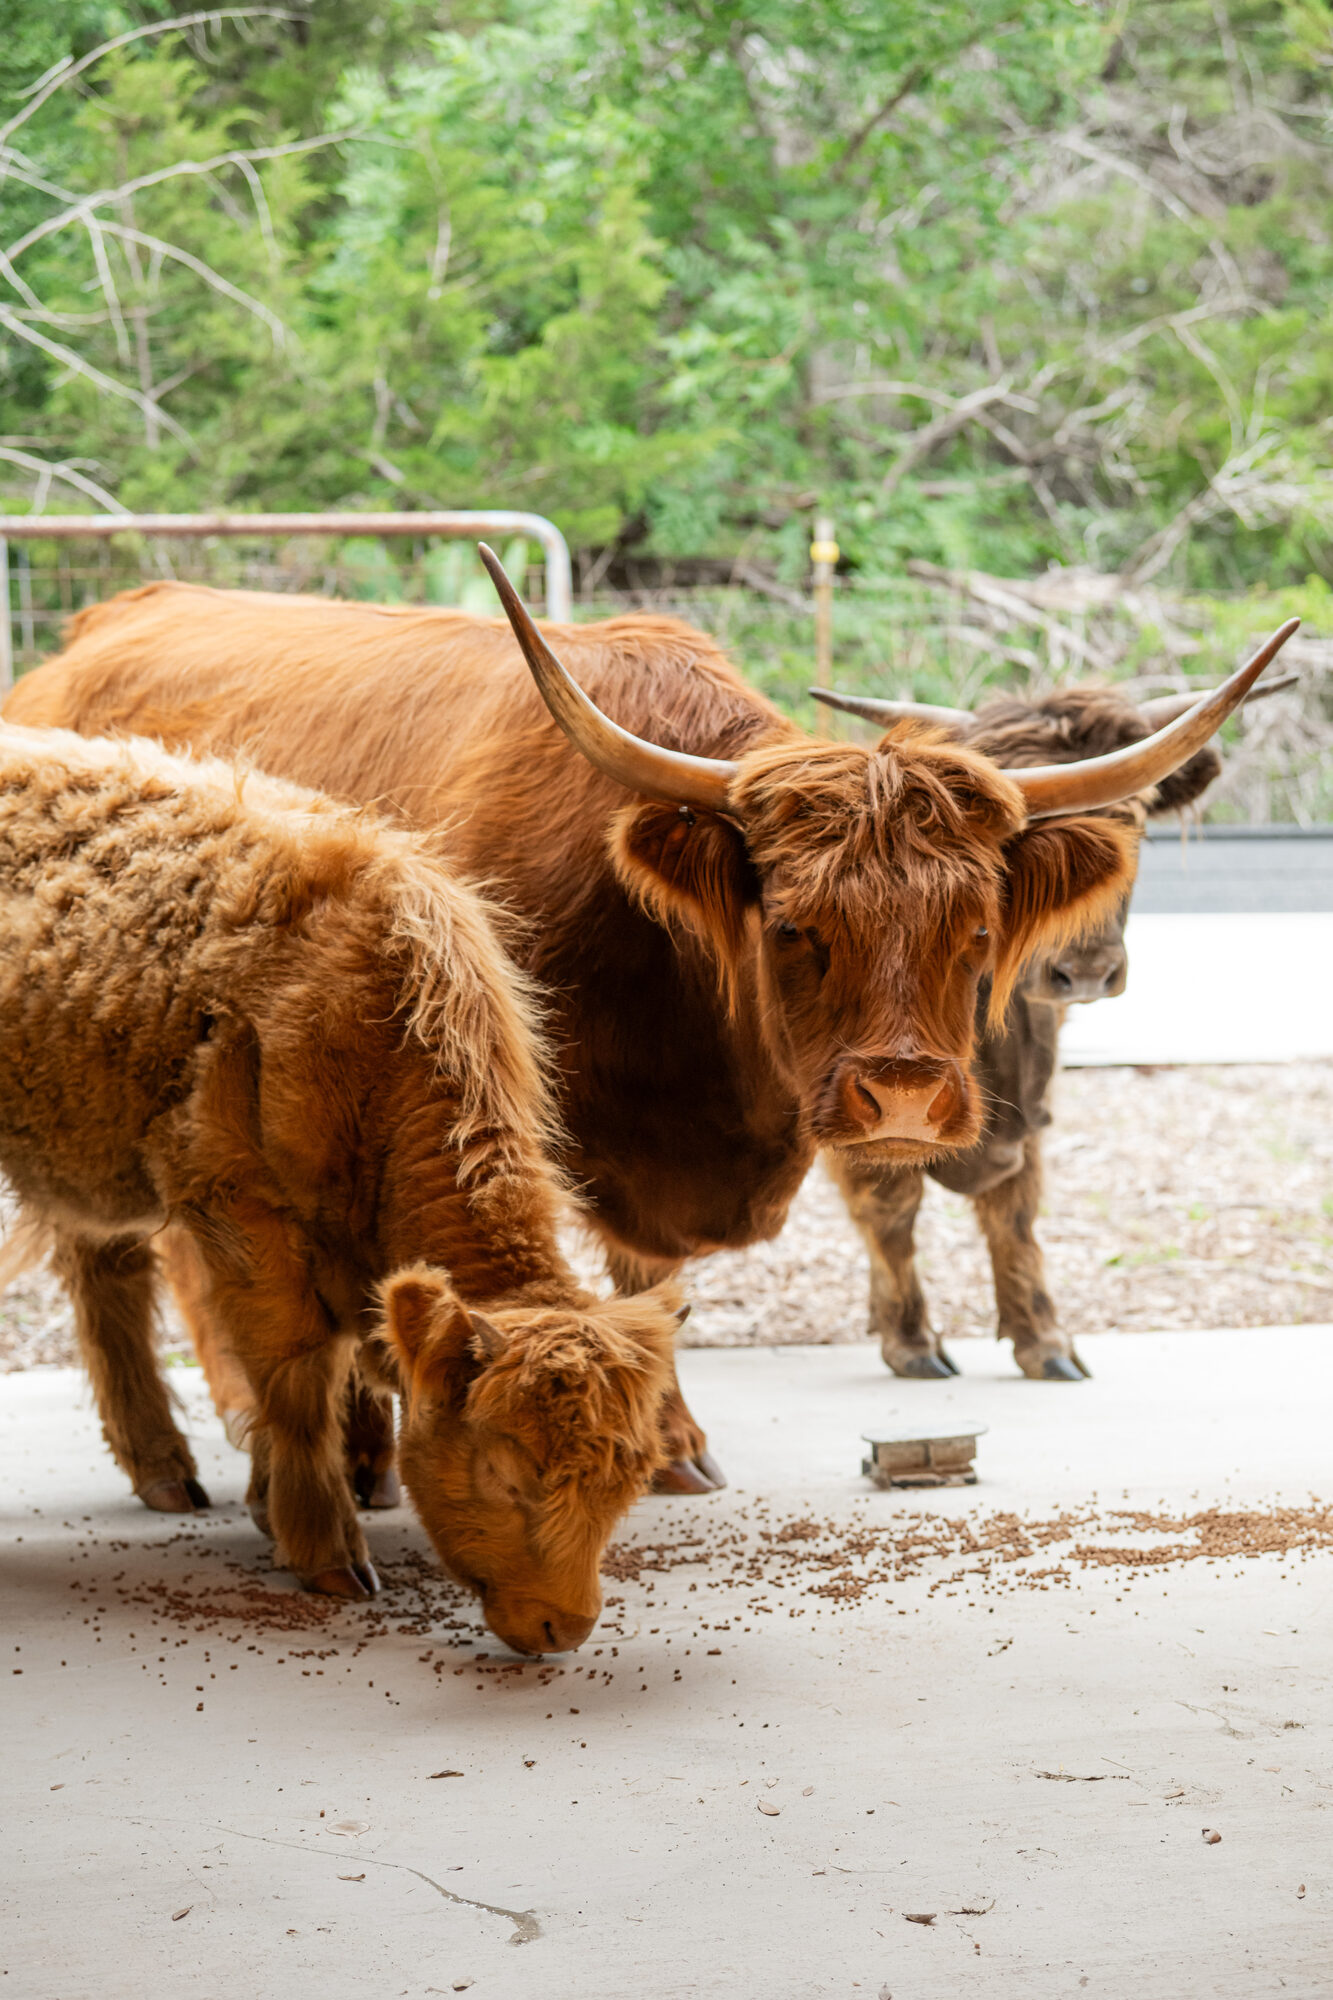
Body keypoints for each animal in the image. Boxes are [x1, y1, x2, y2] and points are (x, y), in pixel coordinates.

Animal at [0, 721, 679, 1654]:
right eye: (505, 1469)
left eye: (629, 1473)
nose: (564, 1626)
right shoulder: (238, 1205)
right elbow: (295, 1376)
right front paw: (325, 1552)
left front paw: (267, 1506)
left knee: (105, 1276)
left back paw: (164, 1470)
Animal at [815, 672, 1293, 1379]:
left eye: (1134, 817)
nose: (1088, 970)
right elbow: (891, 1204)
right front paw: (913, 1343)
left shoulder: (1028, 1108)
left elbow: (1016, 1210)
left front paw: (1044, 1340)